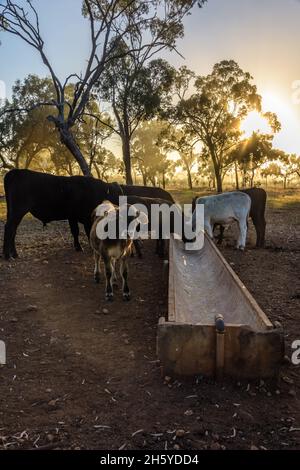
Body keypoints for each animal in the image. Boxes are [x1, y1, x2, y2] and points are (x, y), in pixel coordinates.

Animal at [2, 169, 173, 258]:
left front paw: (82, 247)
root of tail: (14, 172)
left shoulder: (78, 217)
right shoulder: (80, 217)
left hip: (14, 212)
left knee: (12, 230)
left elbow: (80, 231)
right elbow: (82, 231)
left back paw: (13, 253)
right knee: (9, 229)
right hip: (18, 211)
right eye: (117, 194)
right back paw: (7, 255)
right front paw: (85, 247)